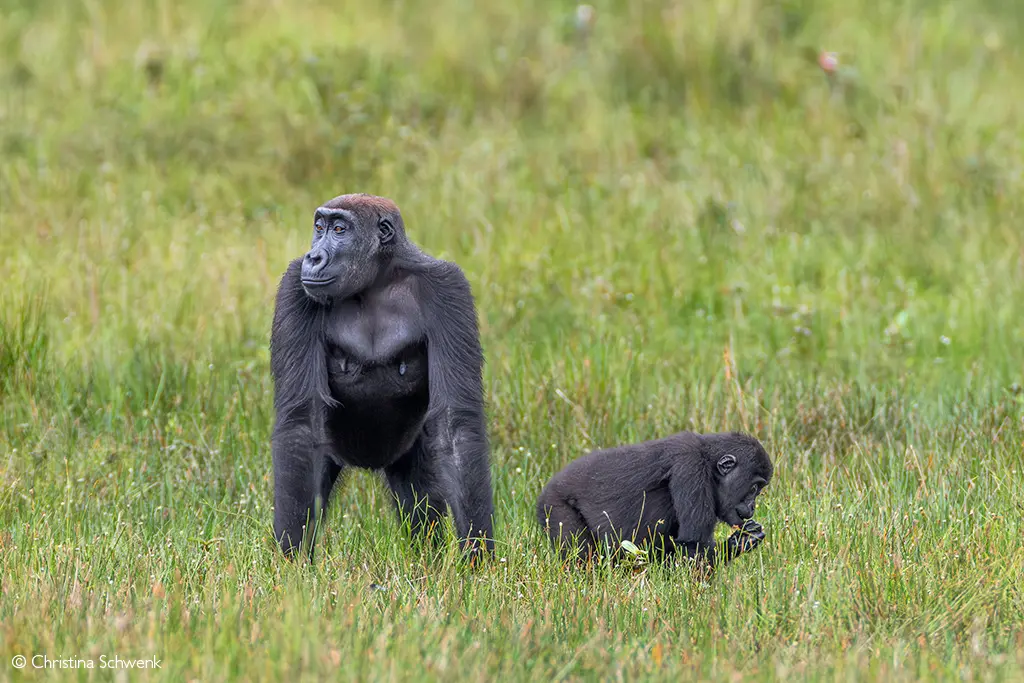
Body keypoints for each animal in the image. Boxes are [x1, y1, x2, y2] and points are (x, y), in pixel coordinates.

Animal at [269, 193, 494, 561]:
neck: (378, 280)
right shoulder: (294, 285)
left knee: (420, 504)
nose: (314, 256)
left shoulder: (449, 288)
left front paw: (479, 556)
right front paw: (291, 556)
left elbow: (455, 426)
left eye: (339, 229)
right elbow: (301, 425)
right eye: (319, 228)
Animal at [536, 431, 772, 568]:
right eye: (753, 488)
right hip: (554, 506)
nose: (752, 506)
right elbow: (692, 548)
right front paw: (739, 543)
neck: (708, 459)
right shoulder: (691, 467)